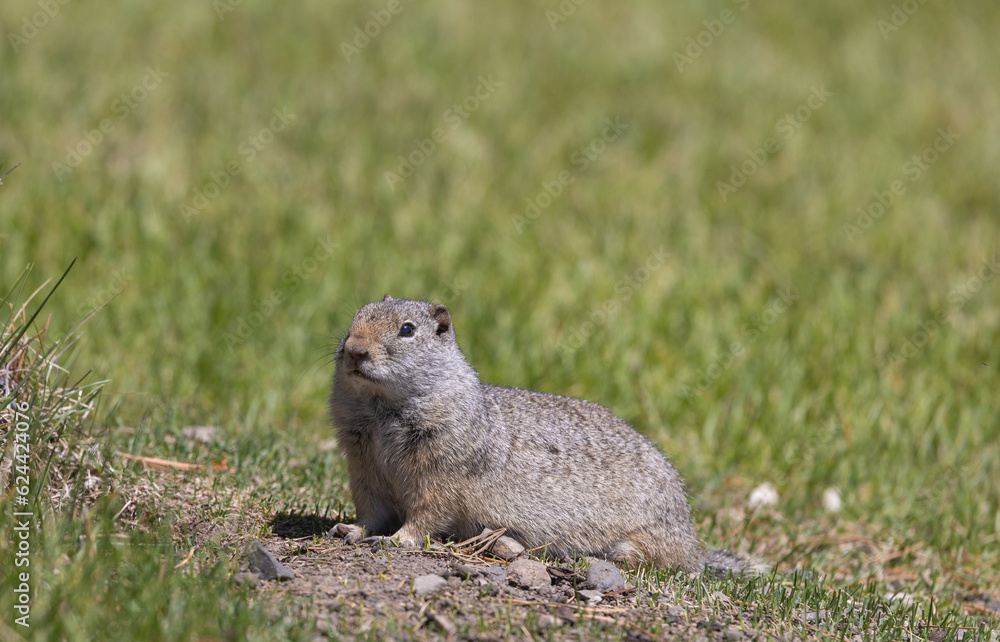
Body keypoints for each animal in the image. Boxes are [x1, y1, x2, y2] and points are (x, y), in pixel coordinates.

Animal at [328, 295, 758, 574]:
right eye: (356, 316)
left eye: (407, 329)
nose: (354, 350)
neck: (382, 410)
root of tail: (690, 542)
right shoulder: (363, 465)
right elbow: (372, 509)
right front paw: (351, 529)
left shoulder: (442, 470)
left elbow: (426, 514)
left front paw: (397, 540)